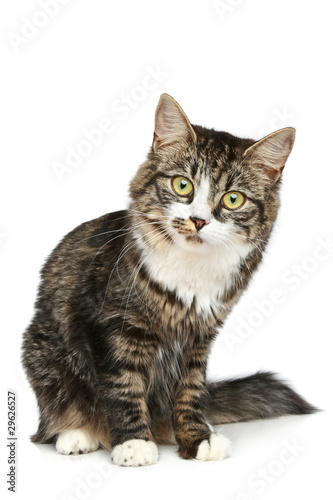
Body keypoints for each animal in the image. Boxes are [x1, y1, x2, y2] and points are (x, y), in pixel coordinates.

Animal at [21, 93, 314, 464]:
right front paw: (133, 442)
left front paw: (197, 437)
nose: (199, 220)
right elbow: (123, 386)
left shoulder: (199, 338)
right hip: (43, 349)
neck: (190, 270)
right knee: (58, 410)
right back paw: (77, 434)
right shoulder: (113, 326)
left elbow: (189, 392)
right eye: (182, 185)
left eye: (233, 199)